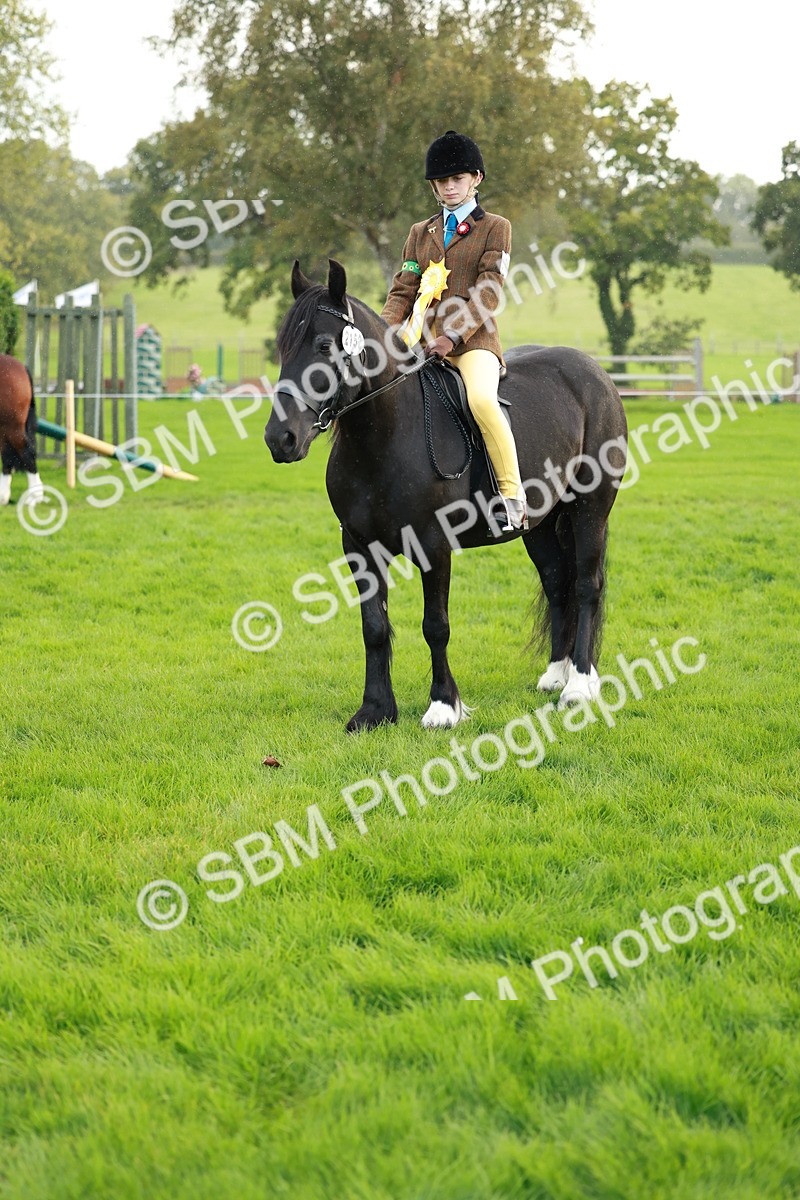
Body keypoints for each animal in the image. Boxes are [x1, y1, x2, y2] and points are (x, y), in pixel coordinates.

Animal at [0, 353, 43, 506]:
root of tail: (21, 367)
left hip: (13, 427)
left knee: (27, 453)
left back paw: (35, 497)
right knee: (7, 456)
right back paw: (3, 497)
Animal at [264, 260, 628, 733]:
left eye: (325, 345)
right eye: (283, 347)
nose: (280, 438)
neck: (384, 436)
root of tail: (595, 373)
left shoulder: (433, 546)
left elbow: (435, 625)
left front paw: (442, 707)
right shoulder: (359, 546)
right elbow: (373, 626)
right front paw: (374, 710)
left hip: (590, 510)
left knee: (586, 585)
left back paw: (579, 685)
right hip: (541, 523)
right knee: (556, 581)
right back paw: (556, 674)